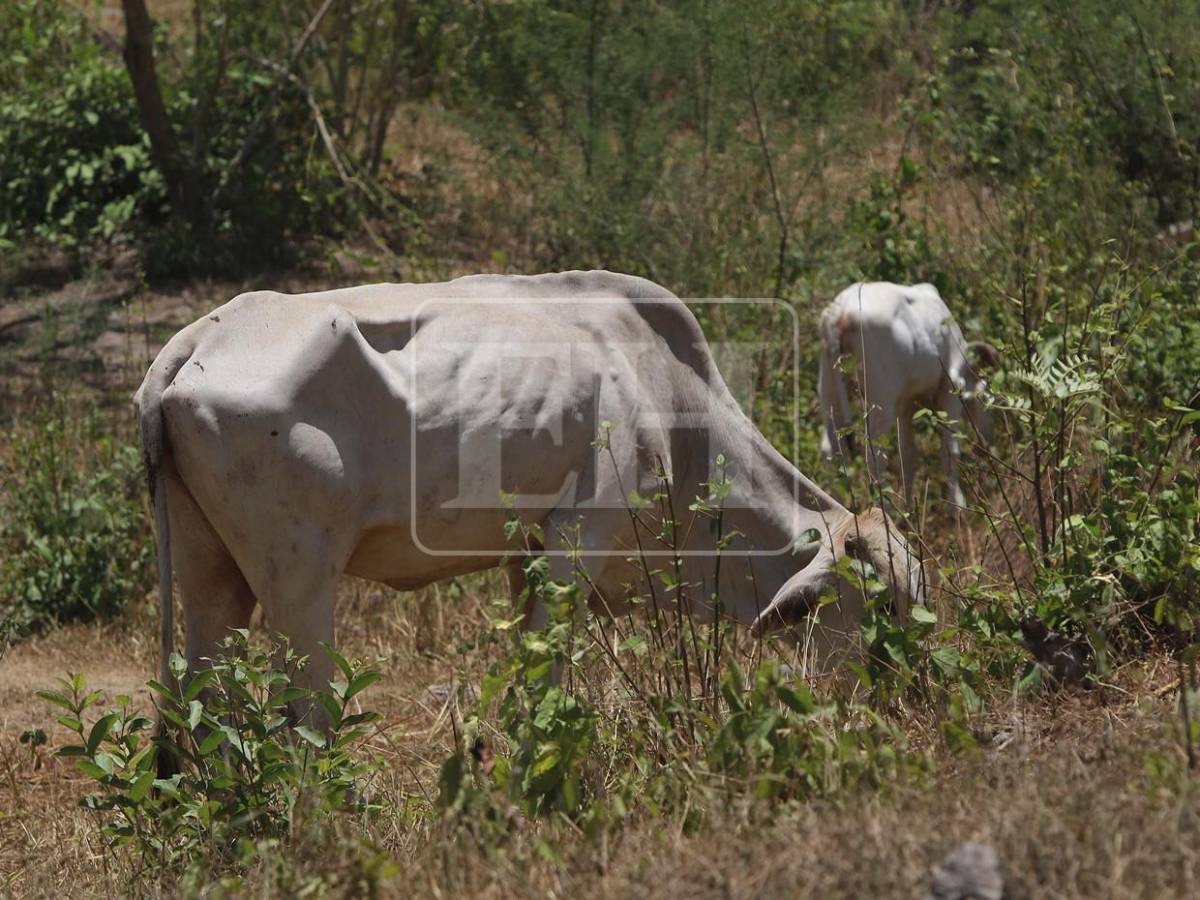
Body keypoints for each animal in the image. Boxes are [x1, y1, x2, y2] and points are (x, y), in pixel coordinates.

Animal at [135, 270, 925, 714]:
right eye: (884, 603)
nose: (917, 697)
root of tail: (201, 336)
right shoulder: (580, 536)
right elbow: (550, 674)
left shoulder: (527, 552)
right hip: (300, 579)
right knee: (307, 718)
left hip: (212, 575)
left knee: (203, 699)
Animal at [817, 281, 999, 509]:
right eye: (985, 396)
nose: (988, 441)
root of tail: (842, 309)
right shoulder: (950, 389)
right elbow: (950, 452)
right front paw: (958, 507)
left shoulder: (904, 406)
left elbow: (908, 457)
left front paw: (909, 509)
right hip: (880, 401)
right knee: (874, 457)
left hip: (829, 390)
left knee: (831, 450)